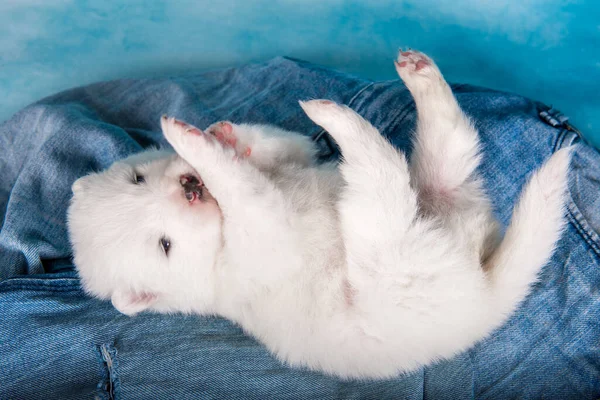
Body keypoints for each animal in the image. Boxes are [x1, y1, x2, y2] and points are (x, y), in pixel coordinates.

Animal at [67, 50, 572, 378]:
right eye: (164, 244)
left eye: (137, 178)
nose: (190, 188)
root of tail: (485, 300)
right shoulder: (263, 234)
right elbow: (244, 187)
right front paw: (201, 147)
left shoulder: (292, 160)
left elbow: (278, 146)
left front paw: (221, 136)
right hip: (393, 256)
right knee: (386, 177)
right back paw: (344, 124)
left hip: (445, 195)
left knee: (451, 144)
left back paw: (418, 76)